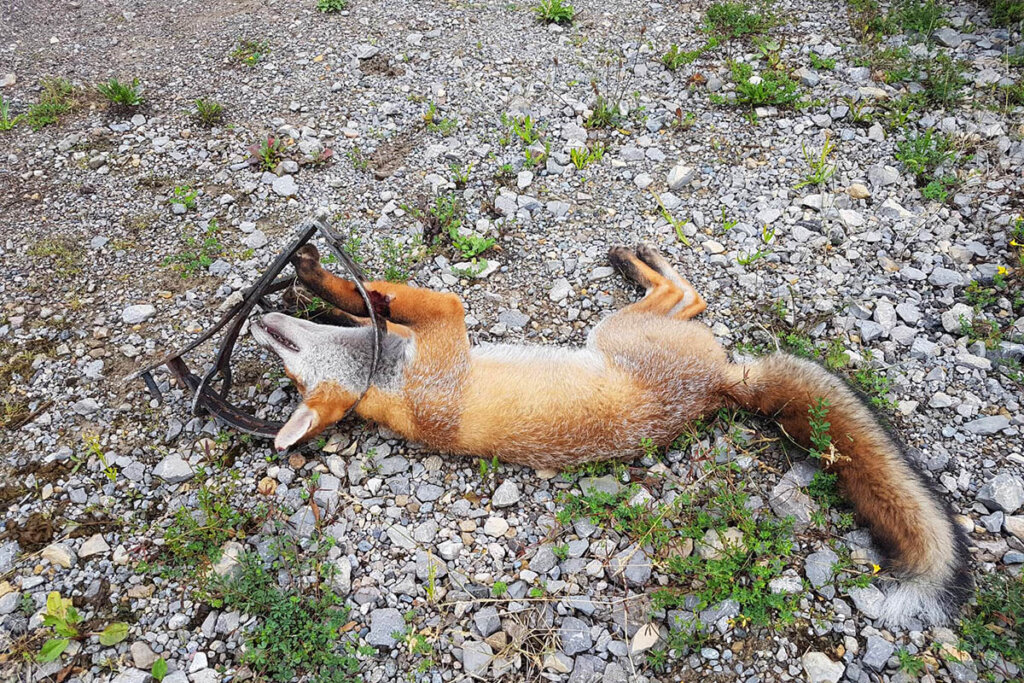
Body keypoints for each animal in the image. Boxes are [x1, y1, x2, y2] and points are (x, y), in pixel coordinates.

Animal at [251, 242, 970, 626]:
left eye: (286, 361)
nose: (258, 322)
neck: (390, 384)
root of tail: (723, 384)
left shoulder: (423, 334)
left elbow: (371, 301)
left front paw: (313, 283)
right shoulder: (445, 328)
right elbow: (407, 298)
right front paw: (321, 279)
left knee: (691, 298)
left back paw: (636, 258)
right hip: (620, 331)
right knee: (687, 296)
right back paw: (640, 260)